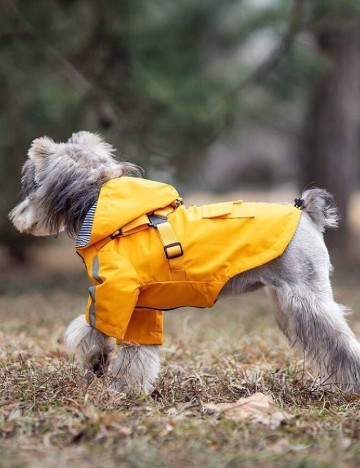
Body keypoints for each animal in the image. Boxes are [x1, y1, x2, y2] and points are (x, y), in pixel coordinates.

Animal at [9, 130, 360, 394]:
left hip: (306, 300)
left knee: (341, 341)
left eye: (30, 184)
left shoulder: (115, 293)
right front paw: (127, 385)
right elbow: (133, 348)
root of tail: (306, 213)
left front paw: (105, 370)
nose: (15, 216)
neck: (104, 208)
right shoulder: (141, 306)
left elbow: (92, 329)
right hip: (285, 304)